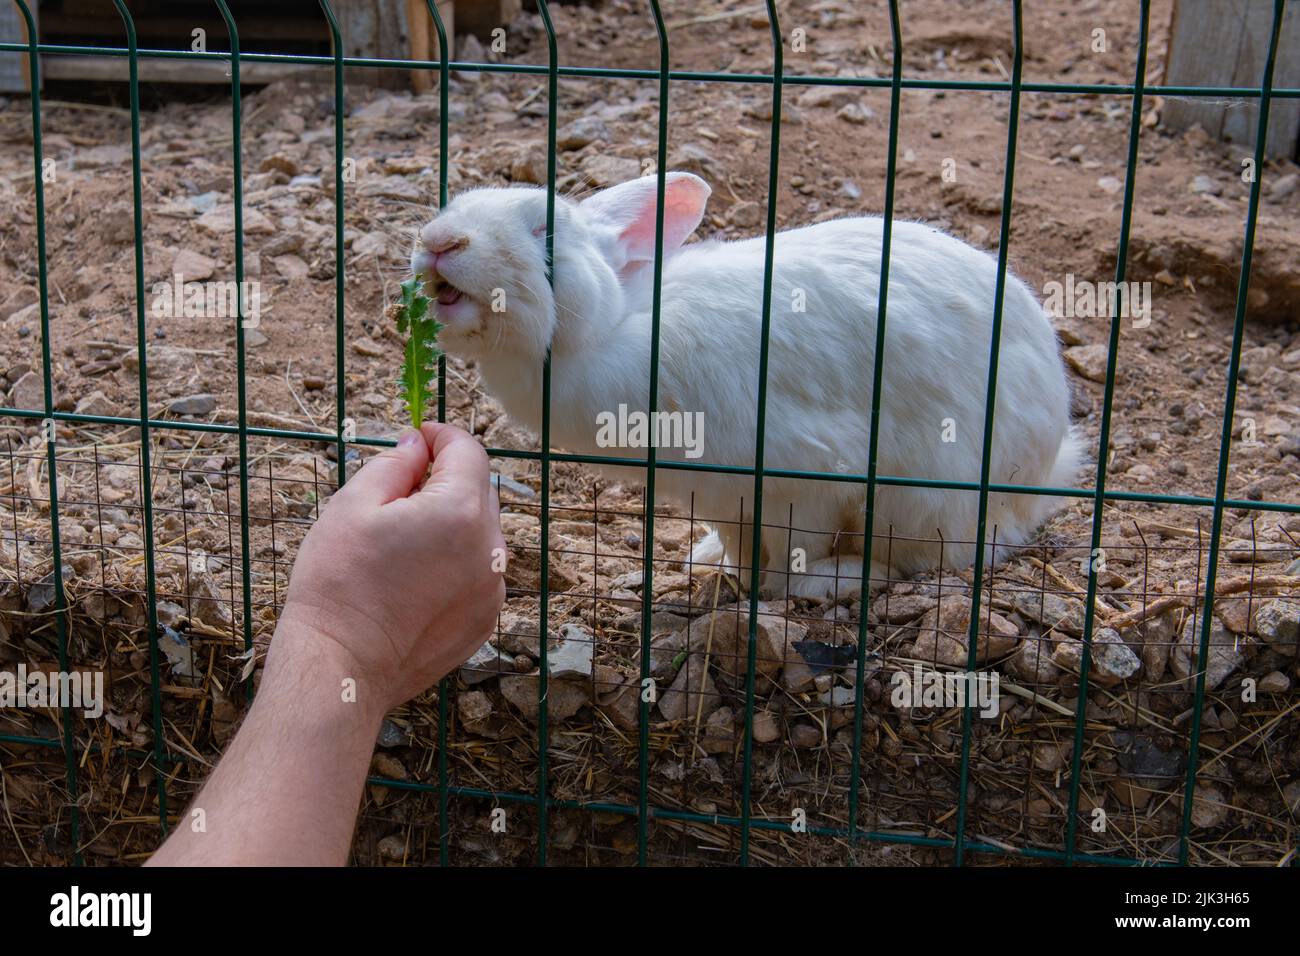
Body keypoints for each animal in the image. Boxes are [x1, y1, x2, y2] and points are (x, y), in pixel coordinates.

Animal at [411, 172, 1083, 601]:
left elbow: (793, 549)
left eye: (543, 232)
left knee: (939, 557)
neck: (609, 330)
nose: (439, 241)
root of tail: (1039, 475)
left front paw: (780, 590)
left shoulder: (803, 482)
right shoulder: (722, 495)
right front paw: (725, 566)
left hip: (921, 501)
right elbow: (739, 541)